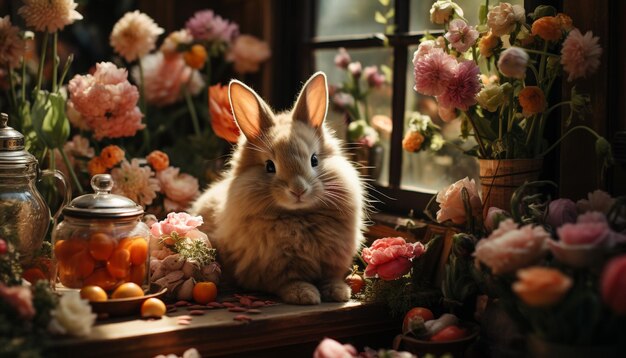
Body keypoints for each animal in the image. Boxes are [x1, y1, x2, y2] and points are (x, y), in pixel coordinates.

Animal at [190, 72, 366, 304]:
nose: (298, 190)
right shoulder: (273, 271)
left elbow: (331, 278)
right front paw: (305, 294)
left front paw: (339, 292)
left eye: (314, 160)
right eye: (269, 166)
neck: (298, 216)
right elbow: (287, 281)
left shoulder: (332, 264)